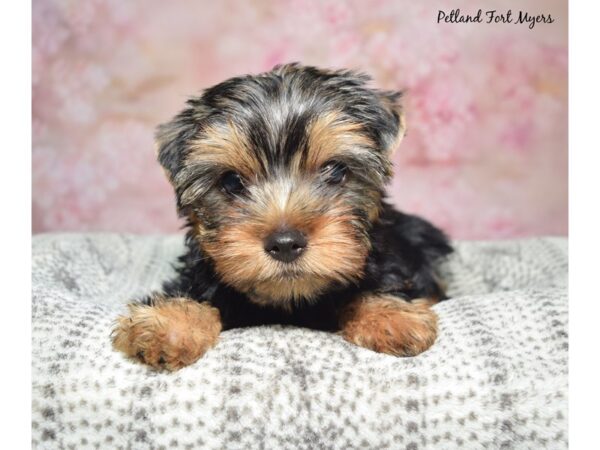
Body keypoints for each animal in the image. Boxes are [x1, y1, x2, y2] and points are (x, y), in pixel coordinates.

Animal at [112, 64, 452, 372]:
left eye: (335, 170)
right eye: (231, 182)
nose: (285, 243)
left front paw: (390, 316)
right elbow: (194, 294)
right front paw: (168, 324)